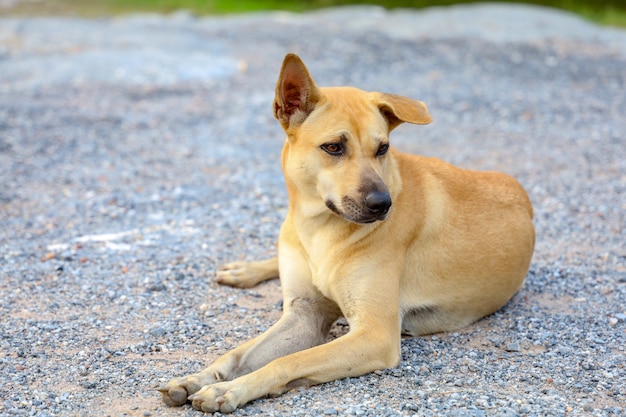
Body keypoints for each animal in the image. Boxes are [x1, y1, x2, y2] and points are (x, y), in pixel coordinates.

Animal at [157, 52, 532, 412]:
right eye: (333, 147)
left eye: (383, 148)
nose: (383, 204)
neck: (318, 229)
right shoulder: (304, 314)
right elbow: (236, 354)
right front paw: (198, 378)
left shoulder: (374, 335)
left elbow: (287, 362)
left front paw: (230, 390)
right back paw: (245, 270)